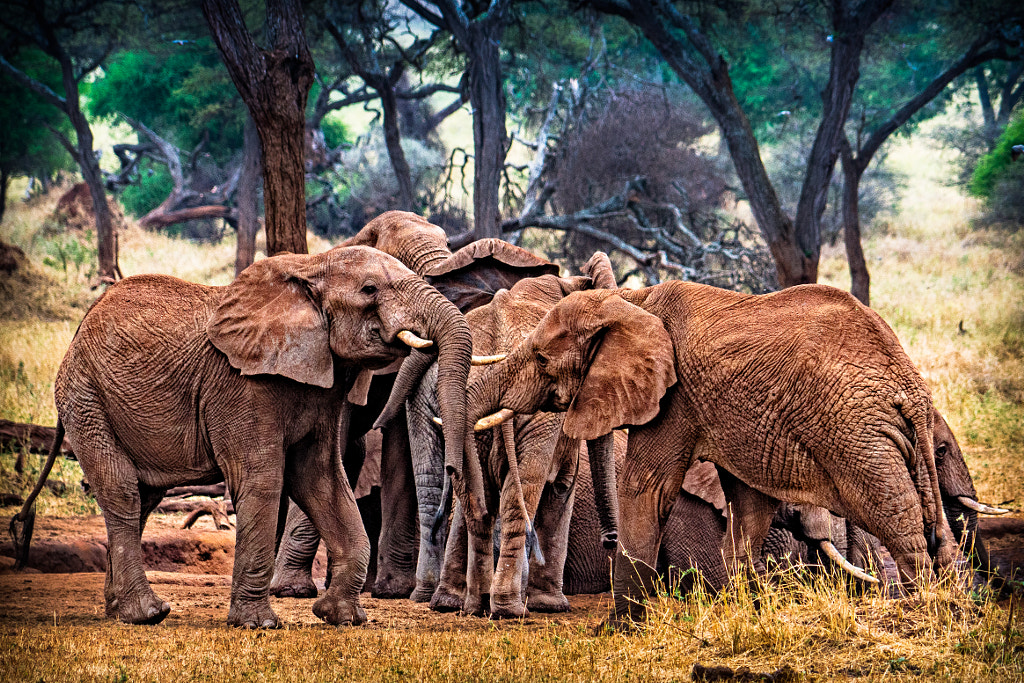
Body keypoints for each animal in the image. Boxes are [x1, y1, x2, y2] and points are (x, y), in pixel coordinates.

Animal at [9, 248, 473, 626]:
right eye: (370, 289)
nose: (453, 470)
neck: (311, 265)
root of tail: (81, 325)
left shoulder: (320, 386)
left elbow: (322, 480)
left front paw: (343, 617)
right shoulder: (240, 386)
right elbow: (263, 480)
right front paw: (258, 625)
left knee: (143, 498)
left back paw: (118, 611)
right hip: (85, 398)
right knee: (122, 492)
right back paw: (148, 614)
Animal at [266, 211, 561, 598]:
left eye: (450, 244)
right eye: (378, 282)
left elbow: (401, 451)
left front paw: (393, 590)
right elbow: (334, 441)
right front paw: (291, 591)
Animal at [464, 282, 958, 626]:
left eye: (542, 359)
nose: (606, 540)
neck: (633, 300)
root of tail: (910, 386)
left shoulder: (675, 396)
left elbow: (646, 487)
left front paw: (617, 629)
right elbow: (750, 502)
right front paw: (748, 611)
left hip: (857, 435)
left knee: (893, 513)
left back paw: (922, 611)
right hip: (891, 438)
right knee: (928, 525)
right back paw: (951, 607)